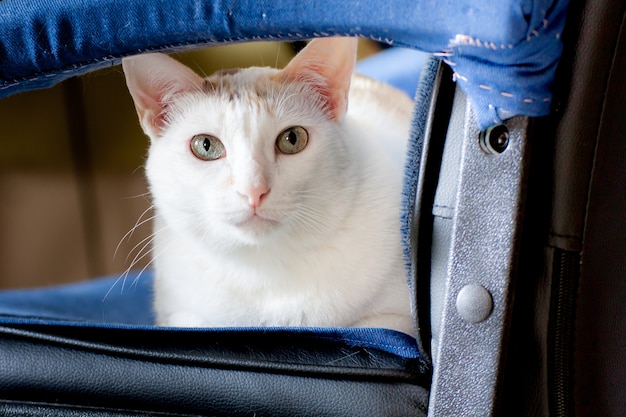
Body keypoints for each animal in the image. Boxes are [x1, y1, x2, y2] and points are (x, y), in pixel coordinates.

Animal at [123, 38, 414, 334]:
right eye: (205, 146)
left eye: (292, 139)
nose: (254, 190)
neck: (264, 269)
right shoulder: (174, 311)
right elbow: (193, 321)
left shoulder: (395, 319)